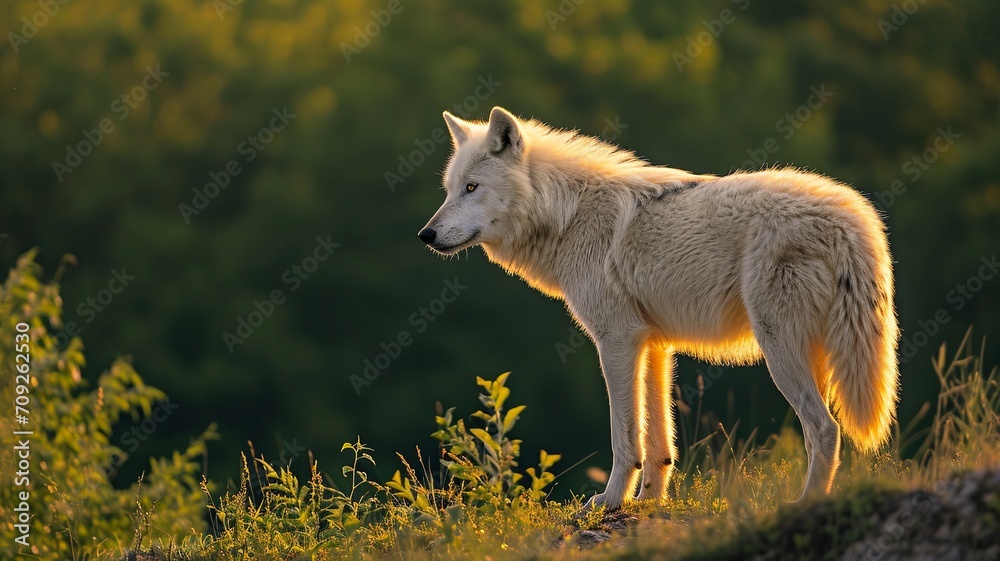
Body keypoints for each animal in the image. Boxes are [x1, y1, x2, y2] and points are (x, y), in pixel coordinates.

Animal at [418, 106, 899, 509]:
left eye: (472, 188)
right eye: (448, 191)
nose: (425, 235)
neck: (568, 215)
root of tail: (852, 219)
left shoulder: (616, 341)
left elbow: (624, 438)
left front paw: (610, 501)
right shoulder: (654, 345)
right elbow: (659, 442)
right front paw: (649, 501)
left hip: (780, 351)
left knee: (825, 429)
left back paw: (806, 502)